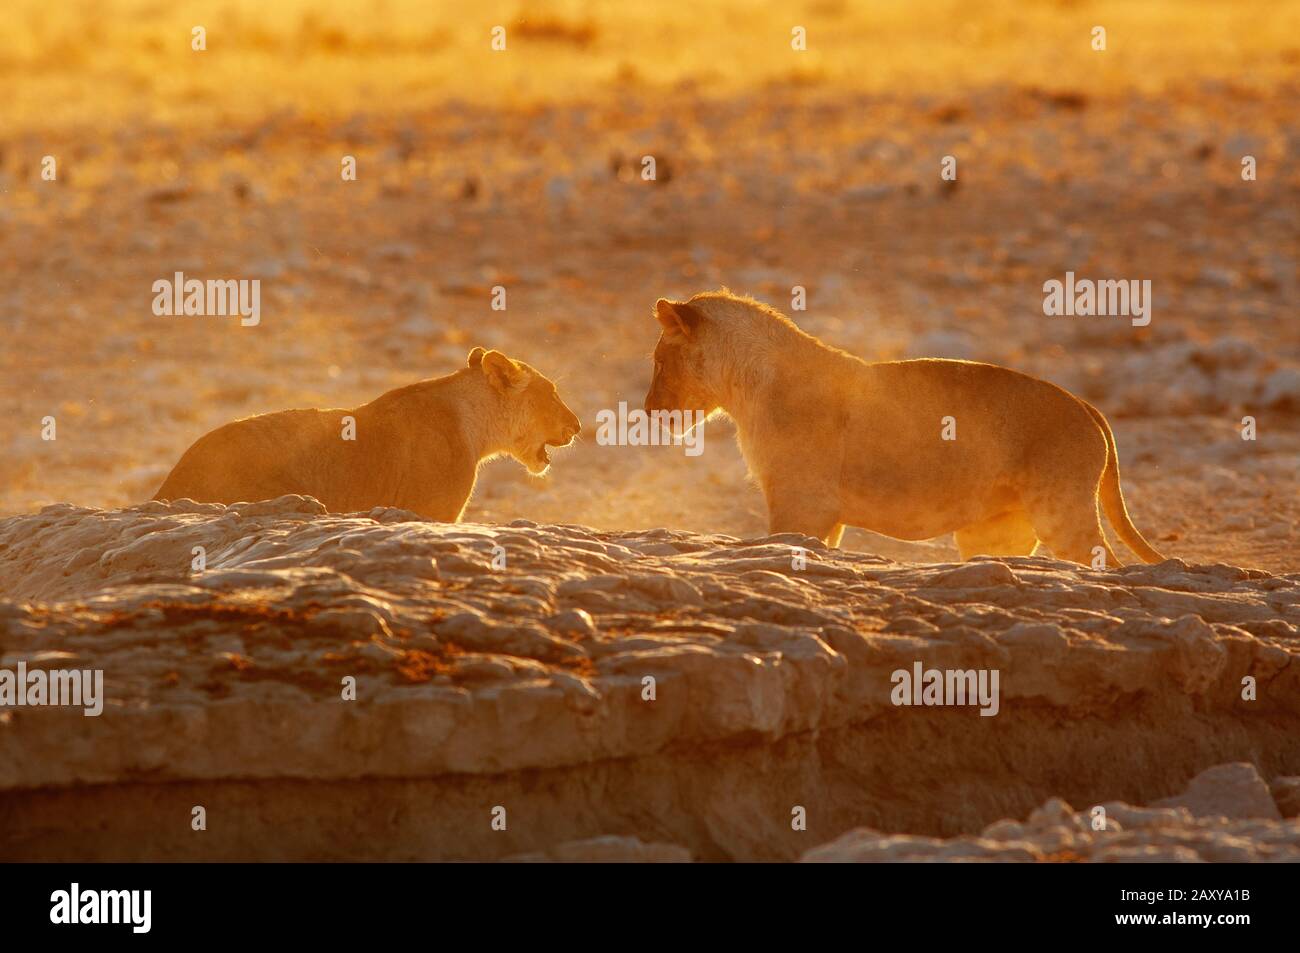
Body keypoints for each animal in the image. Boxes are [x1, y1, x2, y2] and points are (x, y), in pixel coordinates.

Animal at [647, 289, 1170, 564]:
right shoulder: (824, 513)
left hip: (1061, 510)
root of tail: (1084, 403)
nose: (649, 409)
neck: (746, 388)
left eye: (657, 361)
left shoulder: (801, 502)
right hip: (996, 531)